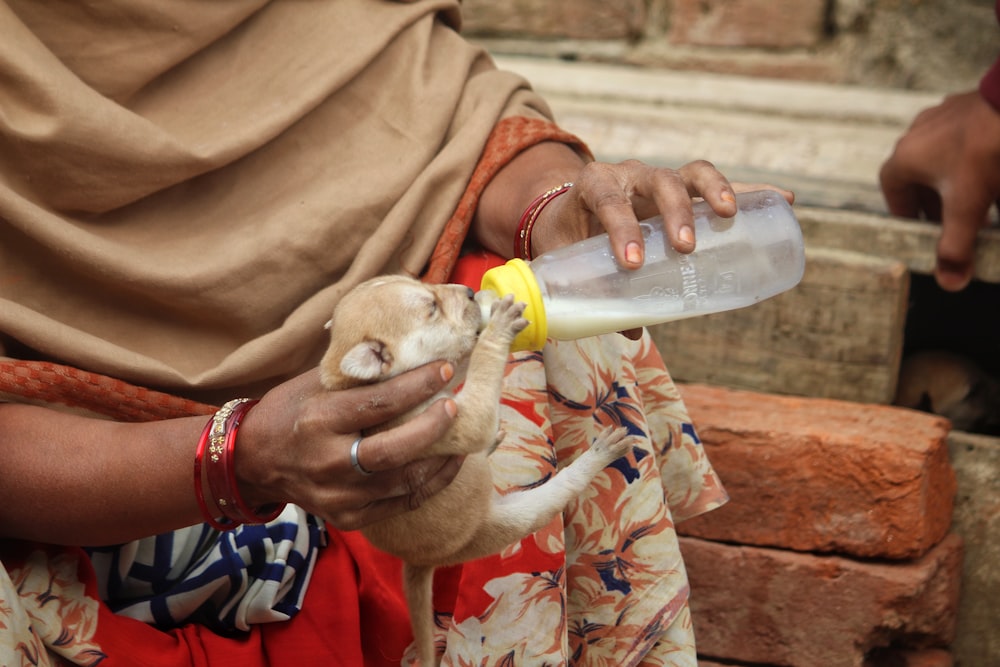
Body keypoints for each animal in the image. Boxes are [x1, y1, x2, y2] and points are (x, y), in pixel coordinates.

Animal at [322, 276, 632, 667]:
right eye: (432, 308)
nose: (470, 291)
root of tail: (419, 562)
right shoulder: (449, 421)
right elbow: (481, 372)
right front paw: (498, 325)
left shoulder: (439, 375)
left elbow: (462, 362)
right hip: (506, 521)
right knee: (556, 492)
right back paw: (597, 456)